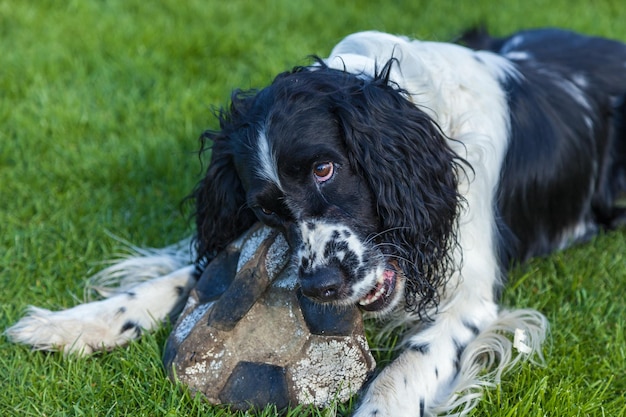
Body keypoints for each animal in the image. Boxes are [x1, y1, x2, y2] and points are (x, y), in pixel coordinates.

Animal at [7, 27, 624, 414]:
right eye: (263, 207)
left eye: (326, 168)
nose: (321, 286)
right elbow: (188, 276)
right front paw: (73, 325)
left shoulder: (468, 295)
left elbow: (403, 372)